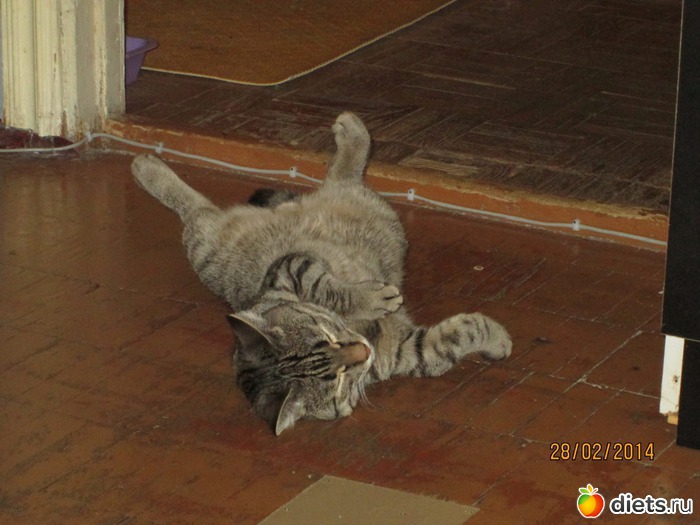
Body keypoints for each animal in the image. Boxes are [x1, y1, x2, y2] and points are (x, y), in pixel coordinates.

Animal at [131, 112, 512, 435]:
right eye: (338, 380)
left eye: (328, 337)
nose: (362, 350)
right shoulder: (406, 350)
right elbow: (456, 336)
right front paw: (497, 339)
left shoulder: (290, 266)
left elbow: (325, 287)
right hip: (208, 246)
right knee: (197, 210)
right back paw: (147, 167)